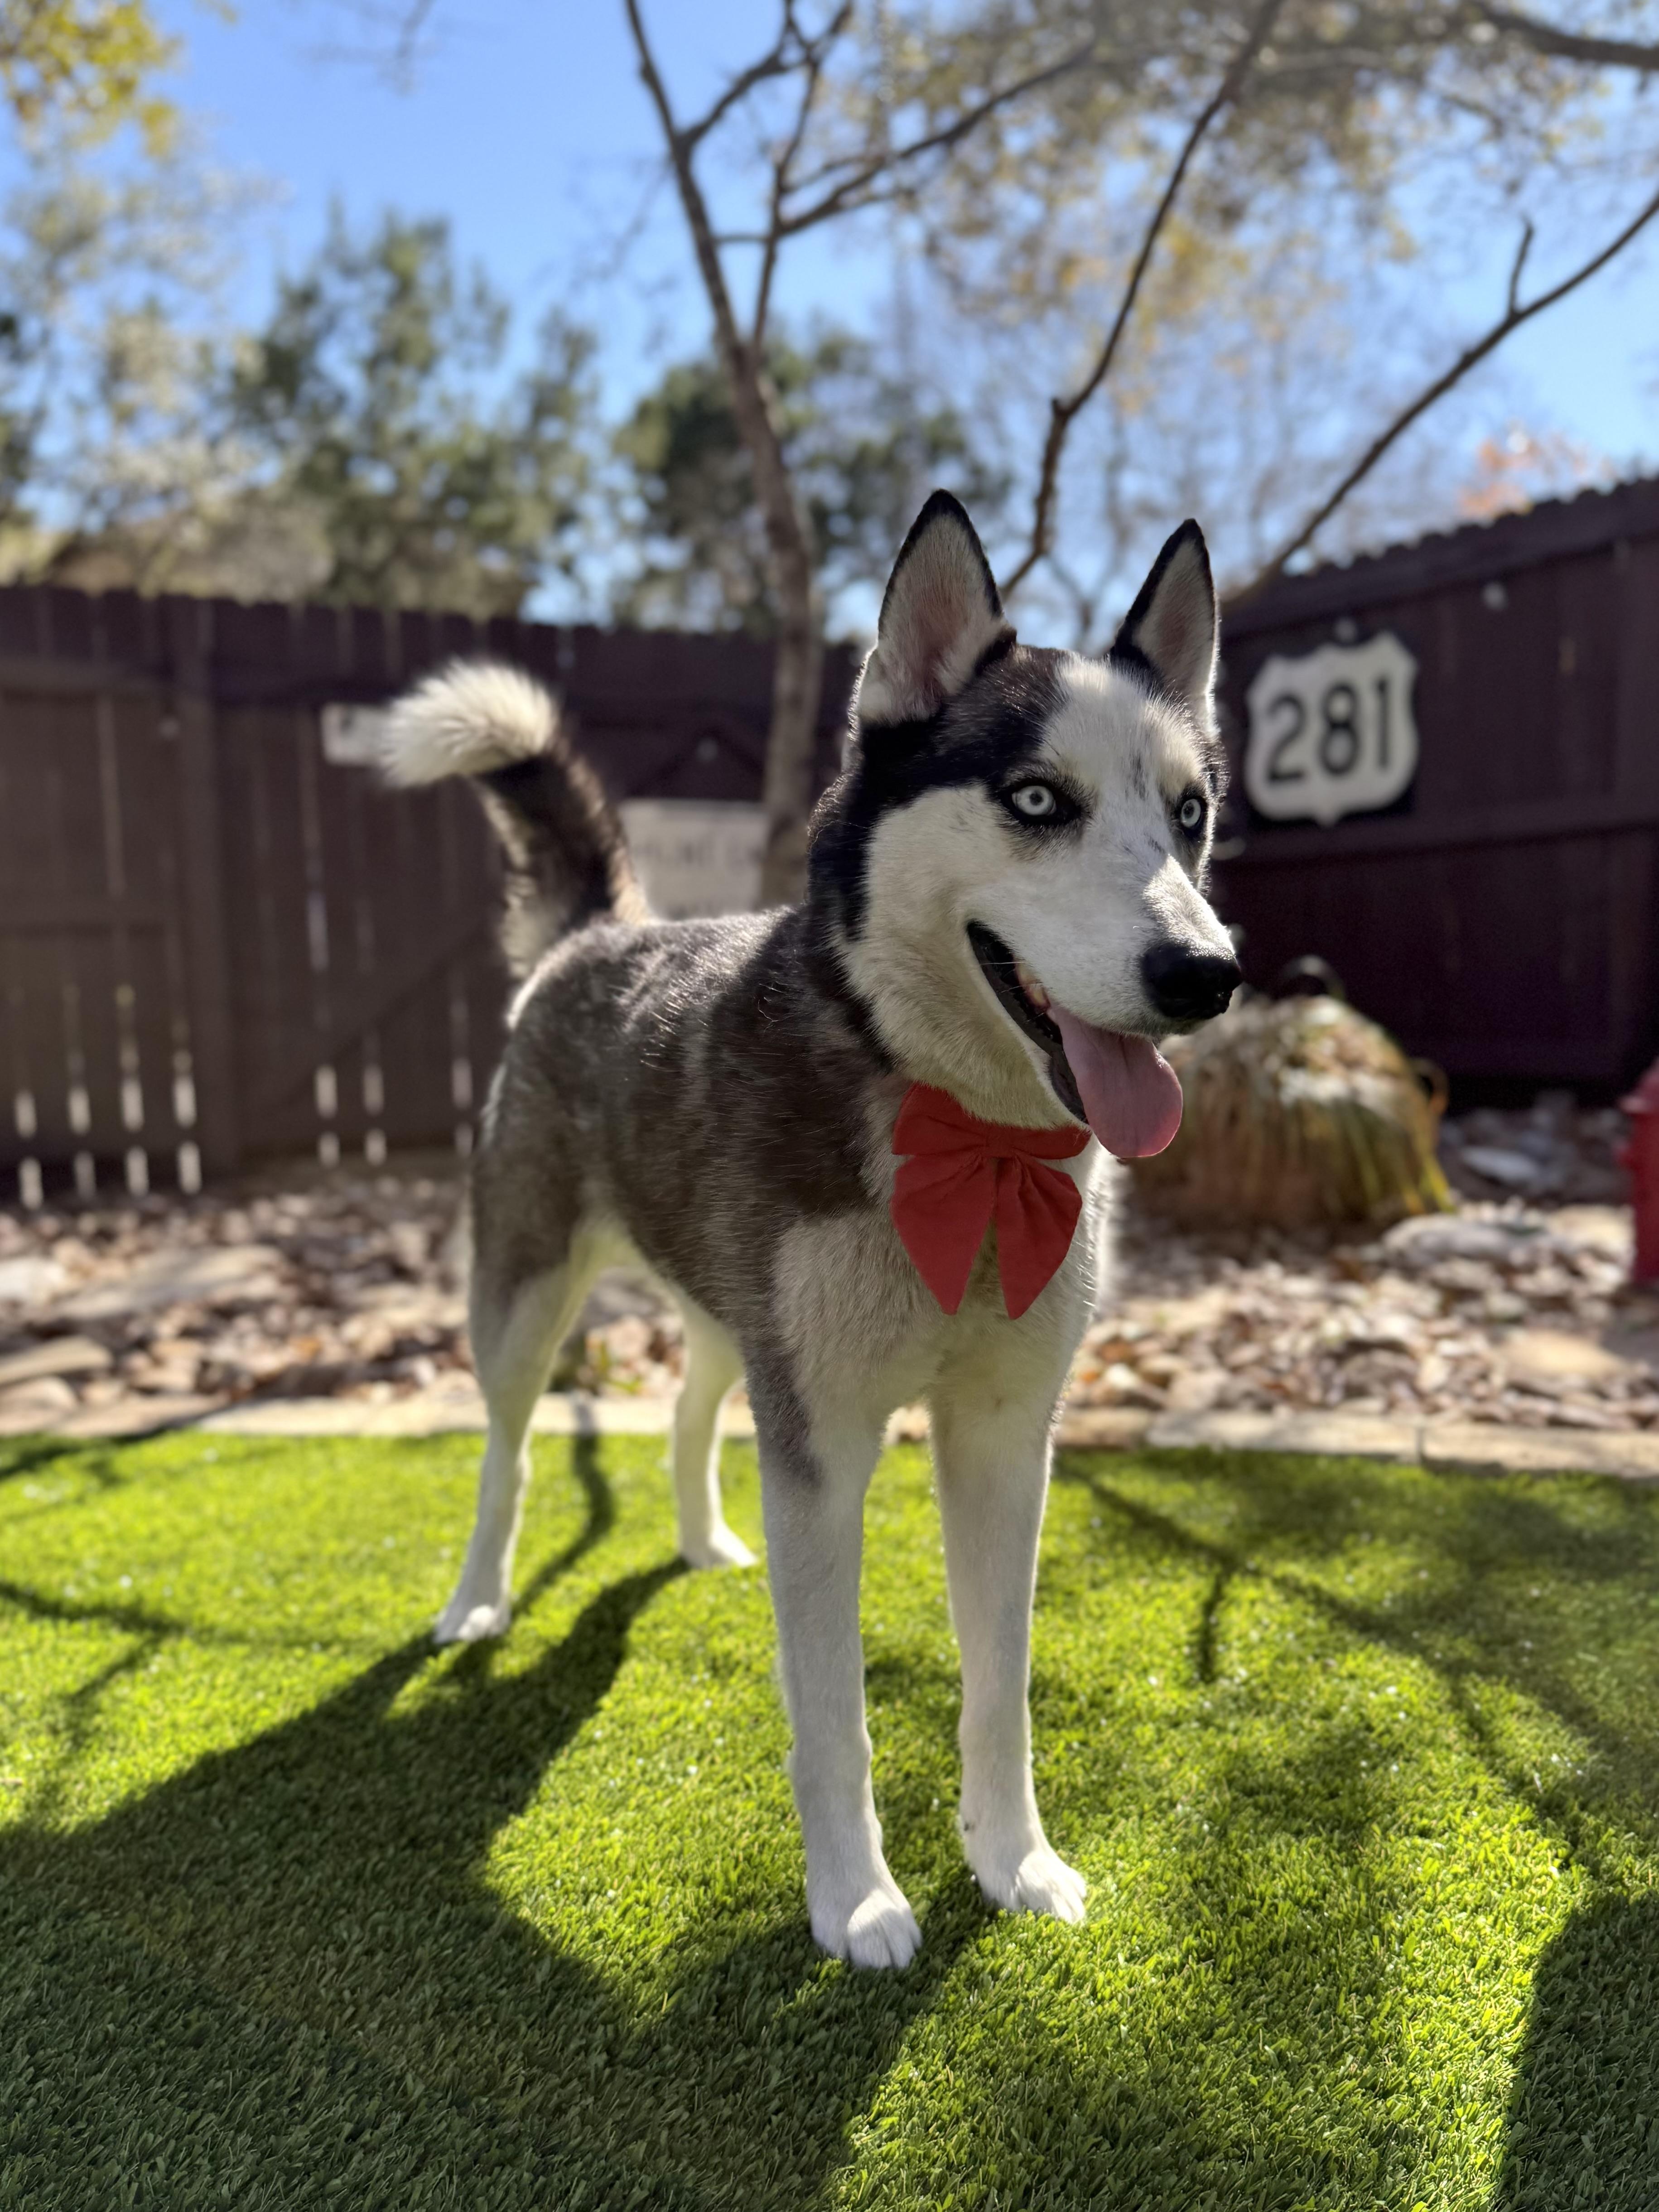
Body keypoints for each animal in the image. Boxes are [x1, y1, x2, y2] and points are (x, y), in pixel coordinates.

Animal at [379, 492, 1240, 1968]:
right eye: (1035, 800)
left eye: (1187, 813)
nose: (1206, 973)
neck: (961, 1131)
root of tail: (598, 934)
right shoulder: (825, 1445)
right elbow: (831, 1716)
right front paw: (856, 1900)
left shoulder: (1004, 1434)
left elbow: (999, 1687)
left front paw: (1013, 1860)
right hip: (526, 1299)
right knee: (506, 1453)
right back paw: (477, 1600)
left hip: (738, 1319)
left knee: (684, 1407)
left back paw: (704, 1541)